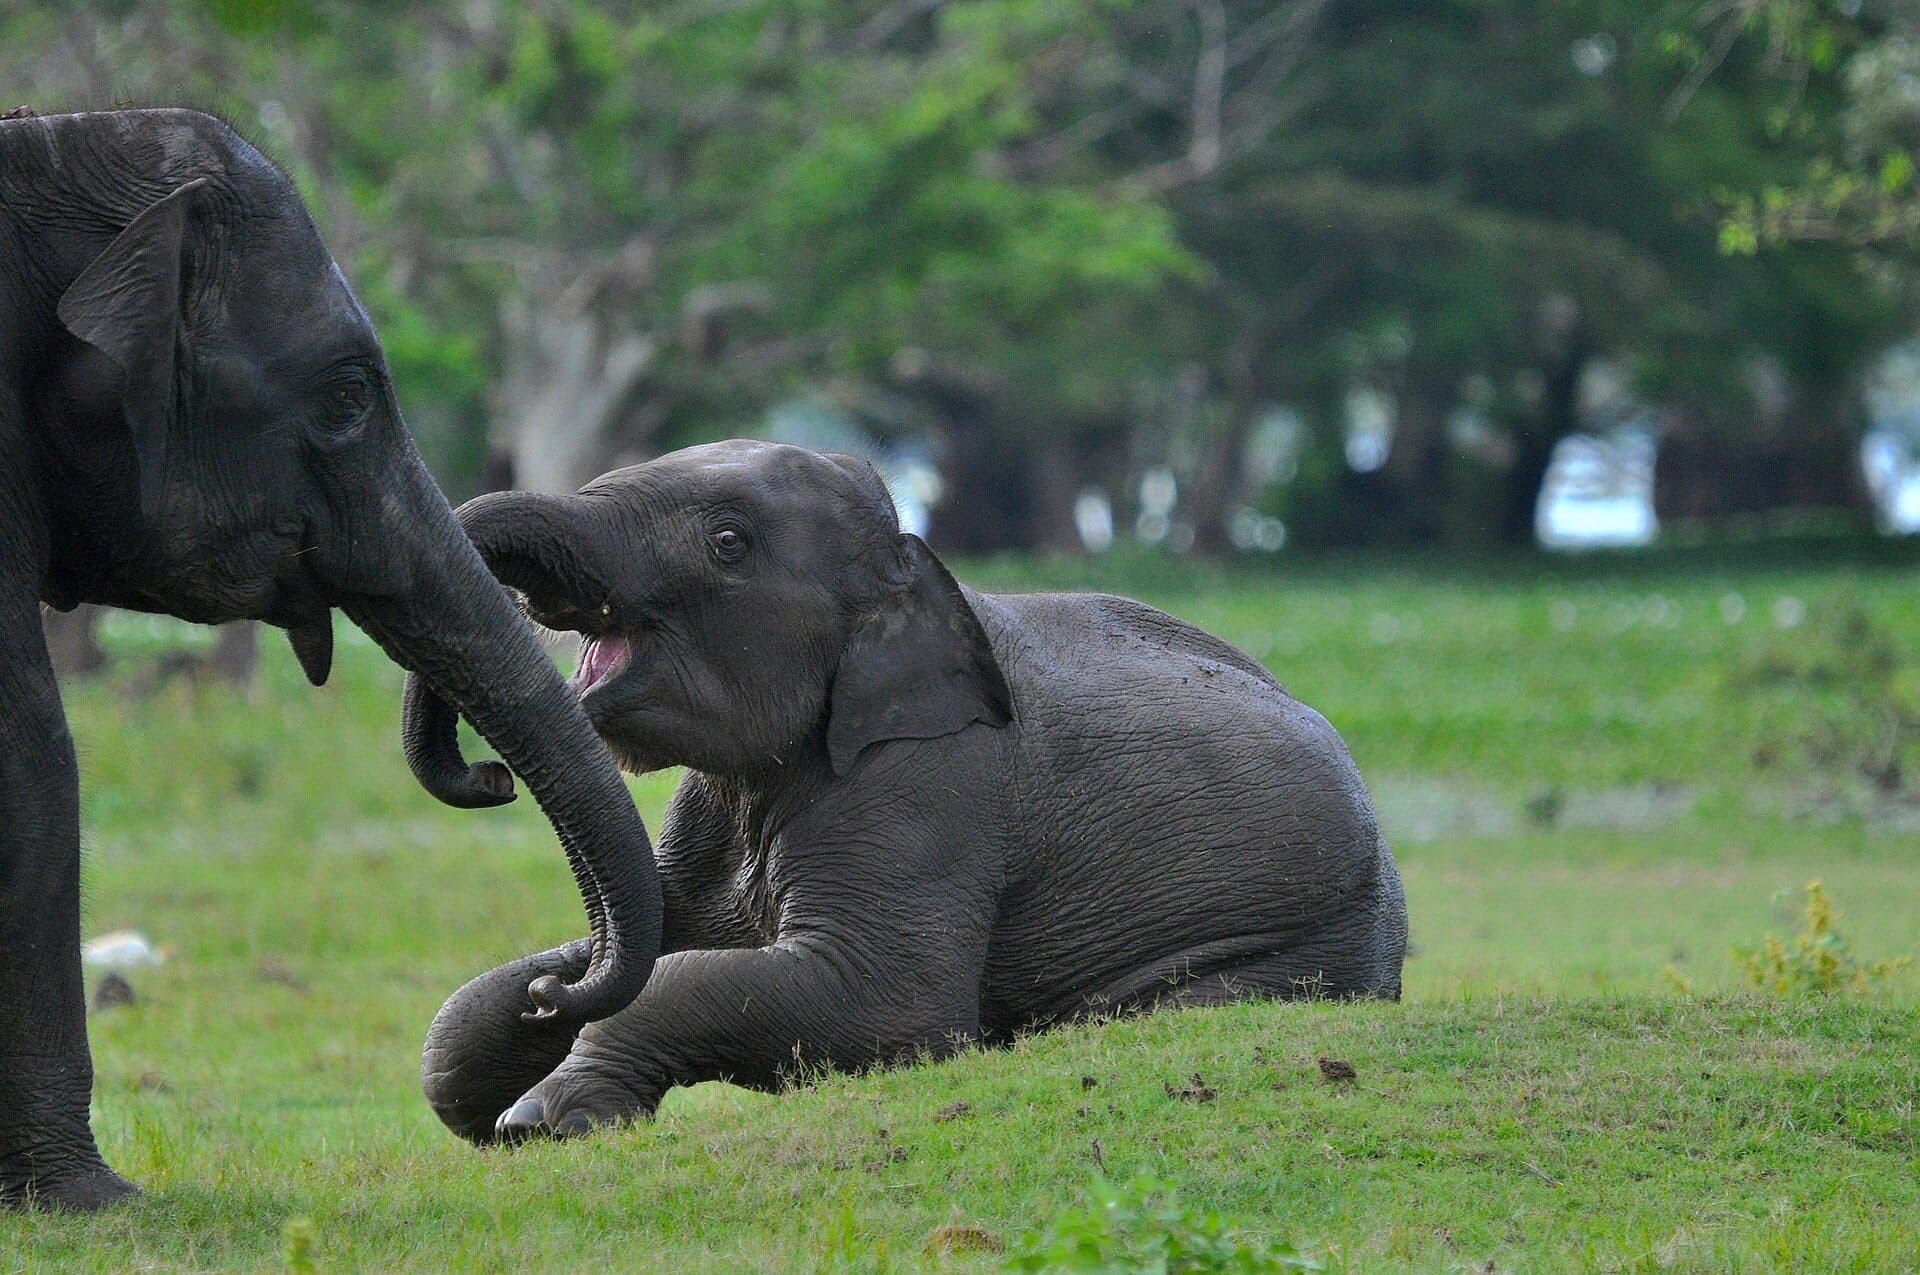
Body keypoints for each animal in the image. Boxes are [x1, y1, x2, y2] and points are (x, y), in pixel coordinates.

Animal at [408, 440, 1407, 1144]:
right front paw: (508, 1072)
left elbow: (886, 1006)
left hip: (1305, 949)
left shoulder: (928, 790)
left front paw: (544, 1118)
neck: (914, 572)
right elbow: (611, 962)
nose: (490, 775)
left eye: (728, 543)